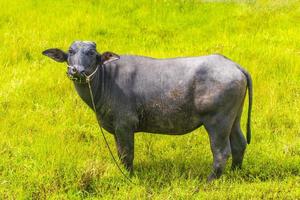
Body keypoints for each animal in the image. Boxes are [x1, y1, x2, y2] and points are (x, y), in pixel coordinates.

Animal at [42, 40, 252, 181]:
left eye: (92, 53)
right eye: (71, 51)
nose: (76, 71)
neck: (106, 80)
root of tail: (233, 65)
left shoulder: (125, 125)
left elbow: (127, 154)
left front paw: (129, 176)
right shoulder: (116, 129)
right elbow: (120, 153)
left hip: (218, 123)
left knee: (221, 152)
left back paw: (209, 181)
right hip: (234, 118)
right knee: (239, 144)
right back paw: (235, 172)